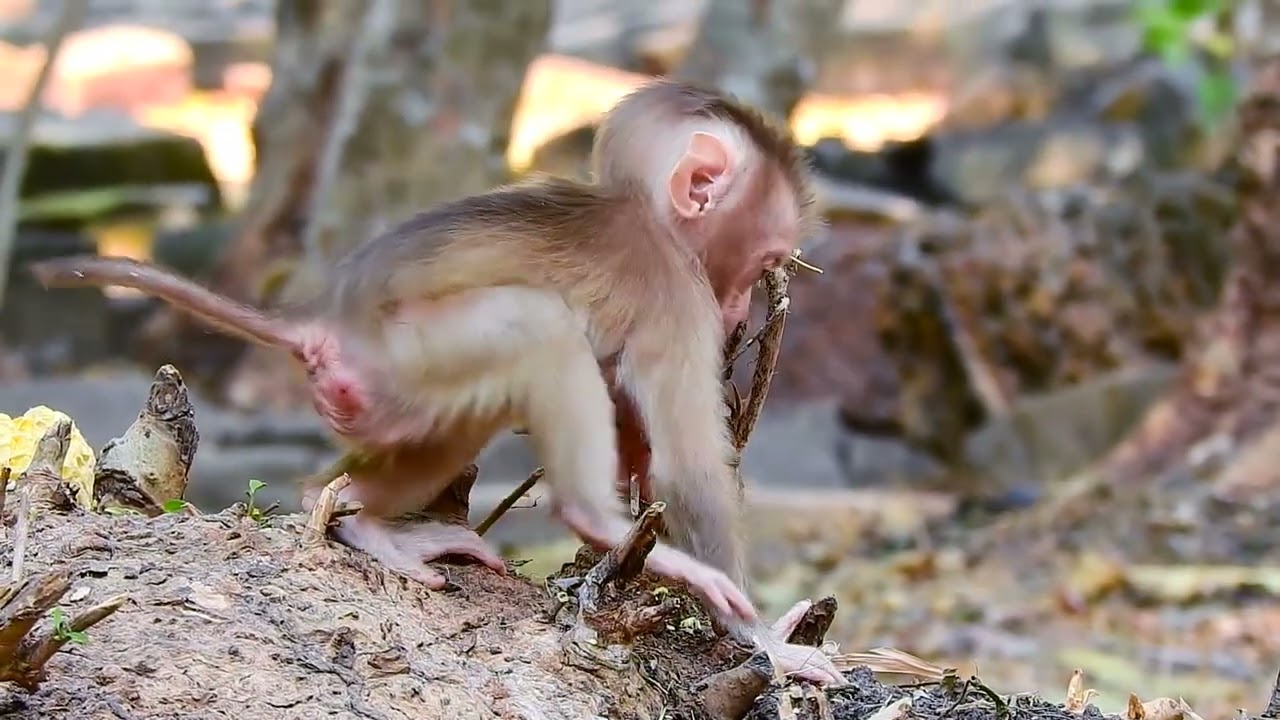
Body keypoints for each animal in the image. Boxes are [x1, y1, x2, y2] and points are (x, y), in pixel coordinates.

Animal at [31, 79, 841, 683]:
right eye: (762, 259)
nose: (739, 308)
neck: (644, 211)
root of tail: (326, 322)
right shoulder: (678, 295)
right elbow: (691, 467)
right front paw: (765, 640)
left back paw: (364, 521)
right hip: (402, 361)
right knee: (538, 328)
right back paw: (593, 520)